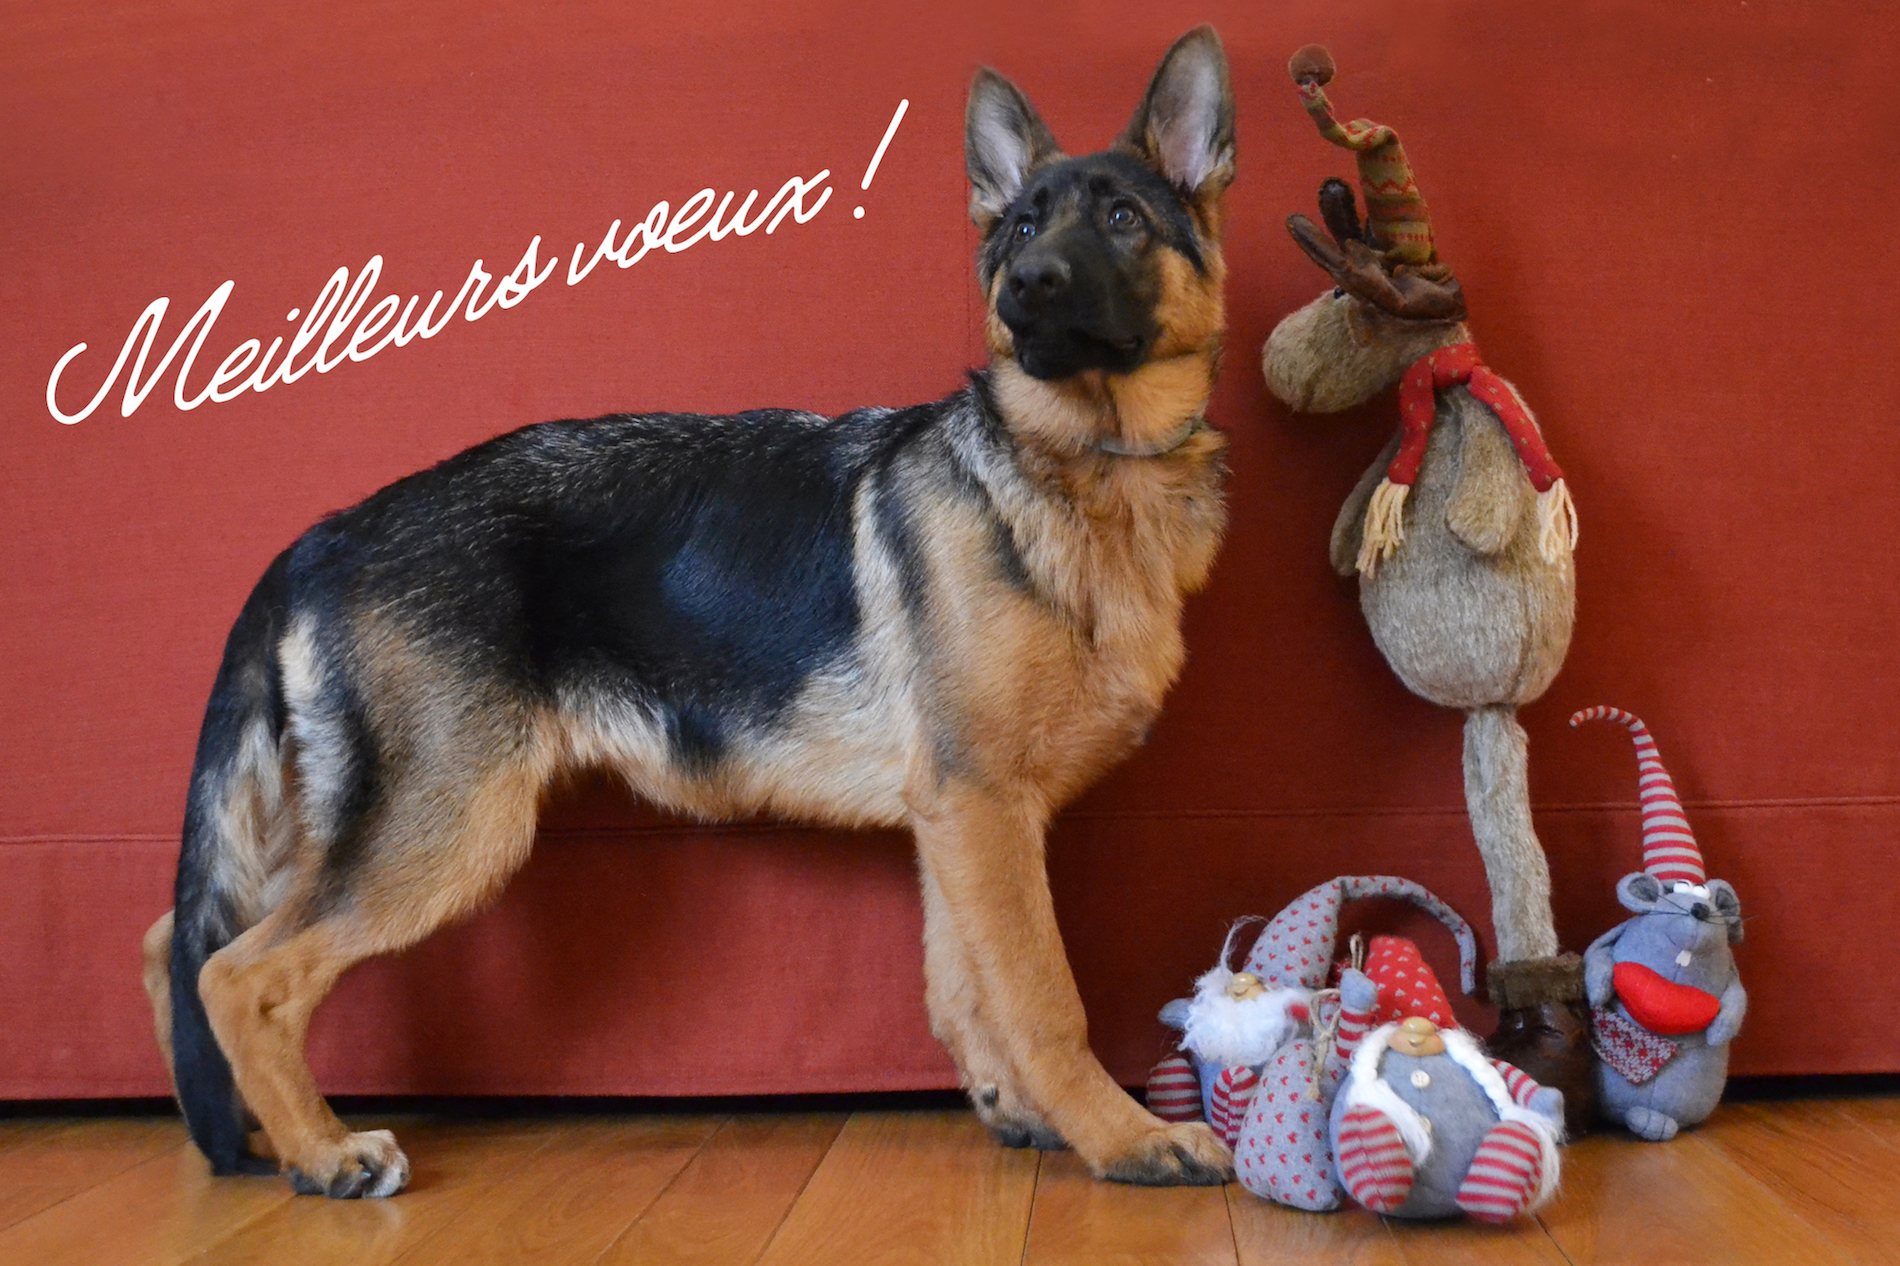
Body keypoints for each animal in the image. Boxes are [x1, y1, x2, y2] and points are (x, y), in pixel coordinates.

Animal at [140, 27, 1238, 1193]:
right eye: (1024, 226)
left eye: (1121, 219)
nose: (1025, 284)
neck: (1083, 465)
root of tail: (326, 533)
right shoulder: (984, 808)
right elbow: (1041, 998)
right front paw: (1124, 1135)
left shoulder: (955, 819)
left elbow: (963, 989)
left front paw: (1017, 1110)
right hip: (443, 827)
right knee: (237, 974)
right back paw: (322, 1152)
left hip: (350, 822)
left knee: (175, 944)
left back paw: (249, 1133)